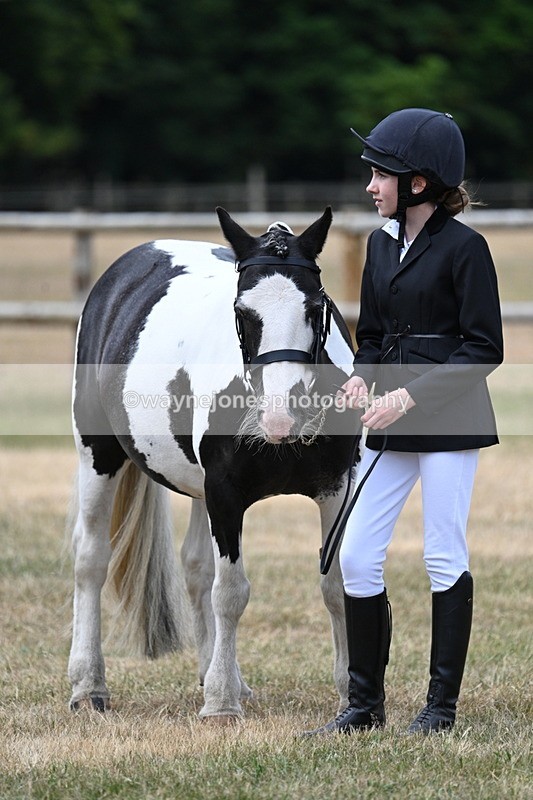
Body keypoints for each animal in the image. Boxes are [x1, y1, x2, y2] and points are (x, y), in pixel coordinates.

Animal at [69, 206, 359, 721]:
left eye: (314, 308)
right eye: (242, 313)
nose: (280, 416)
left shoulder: (335, 490)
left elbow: (334, 589)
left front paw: (348, 695)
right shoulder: (225, 493)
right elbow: (232, 592)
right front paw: (221, 703)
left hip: (198, 490)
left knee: (197, 568)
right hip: (97, 455)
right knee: (91, 560)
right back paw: (89, 686)